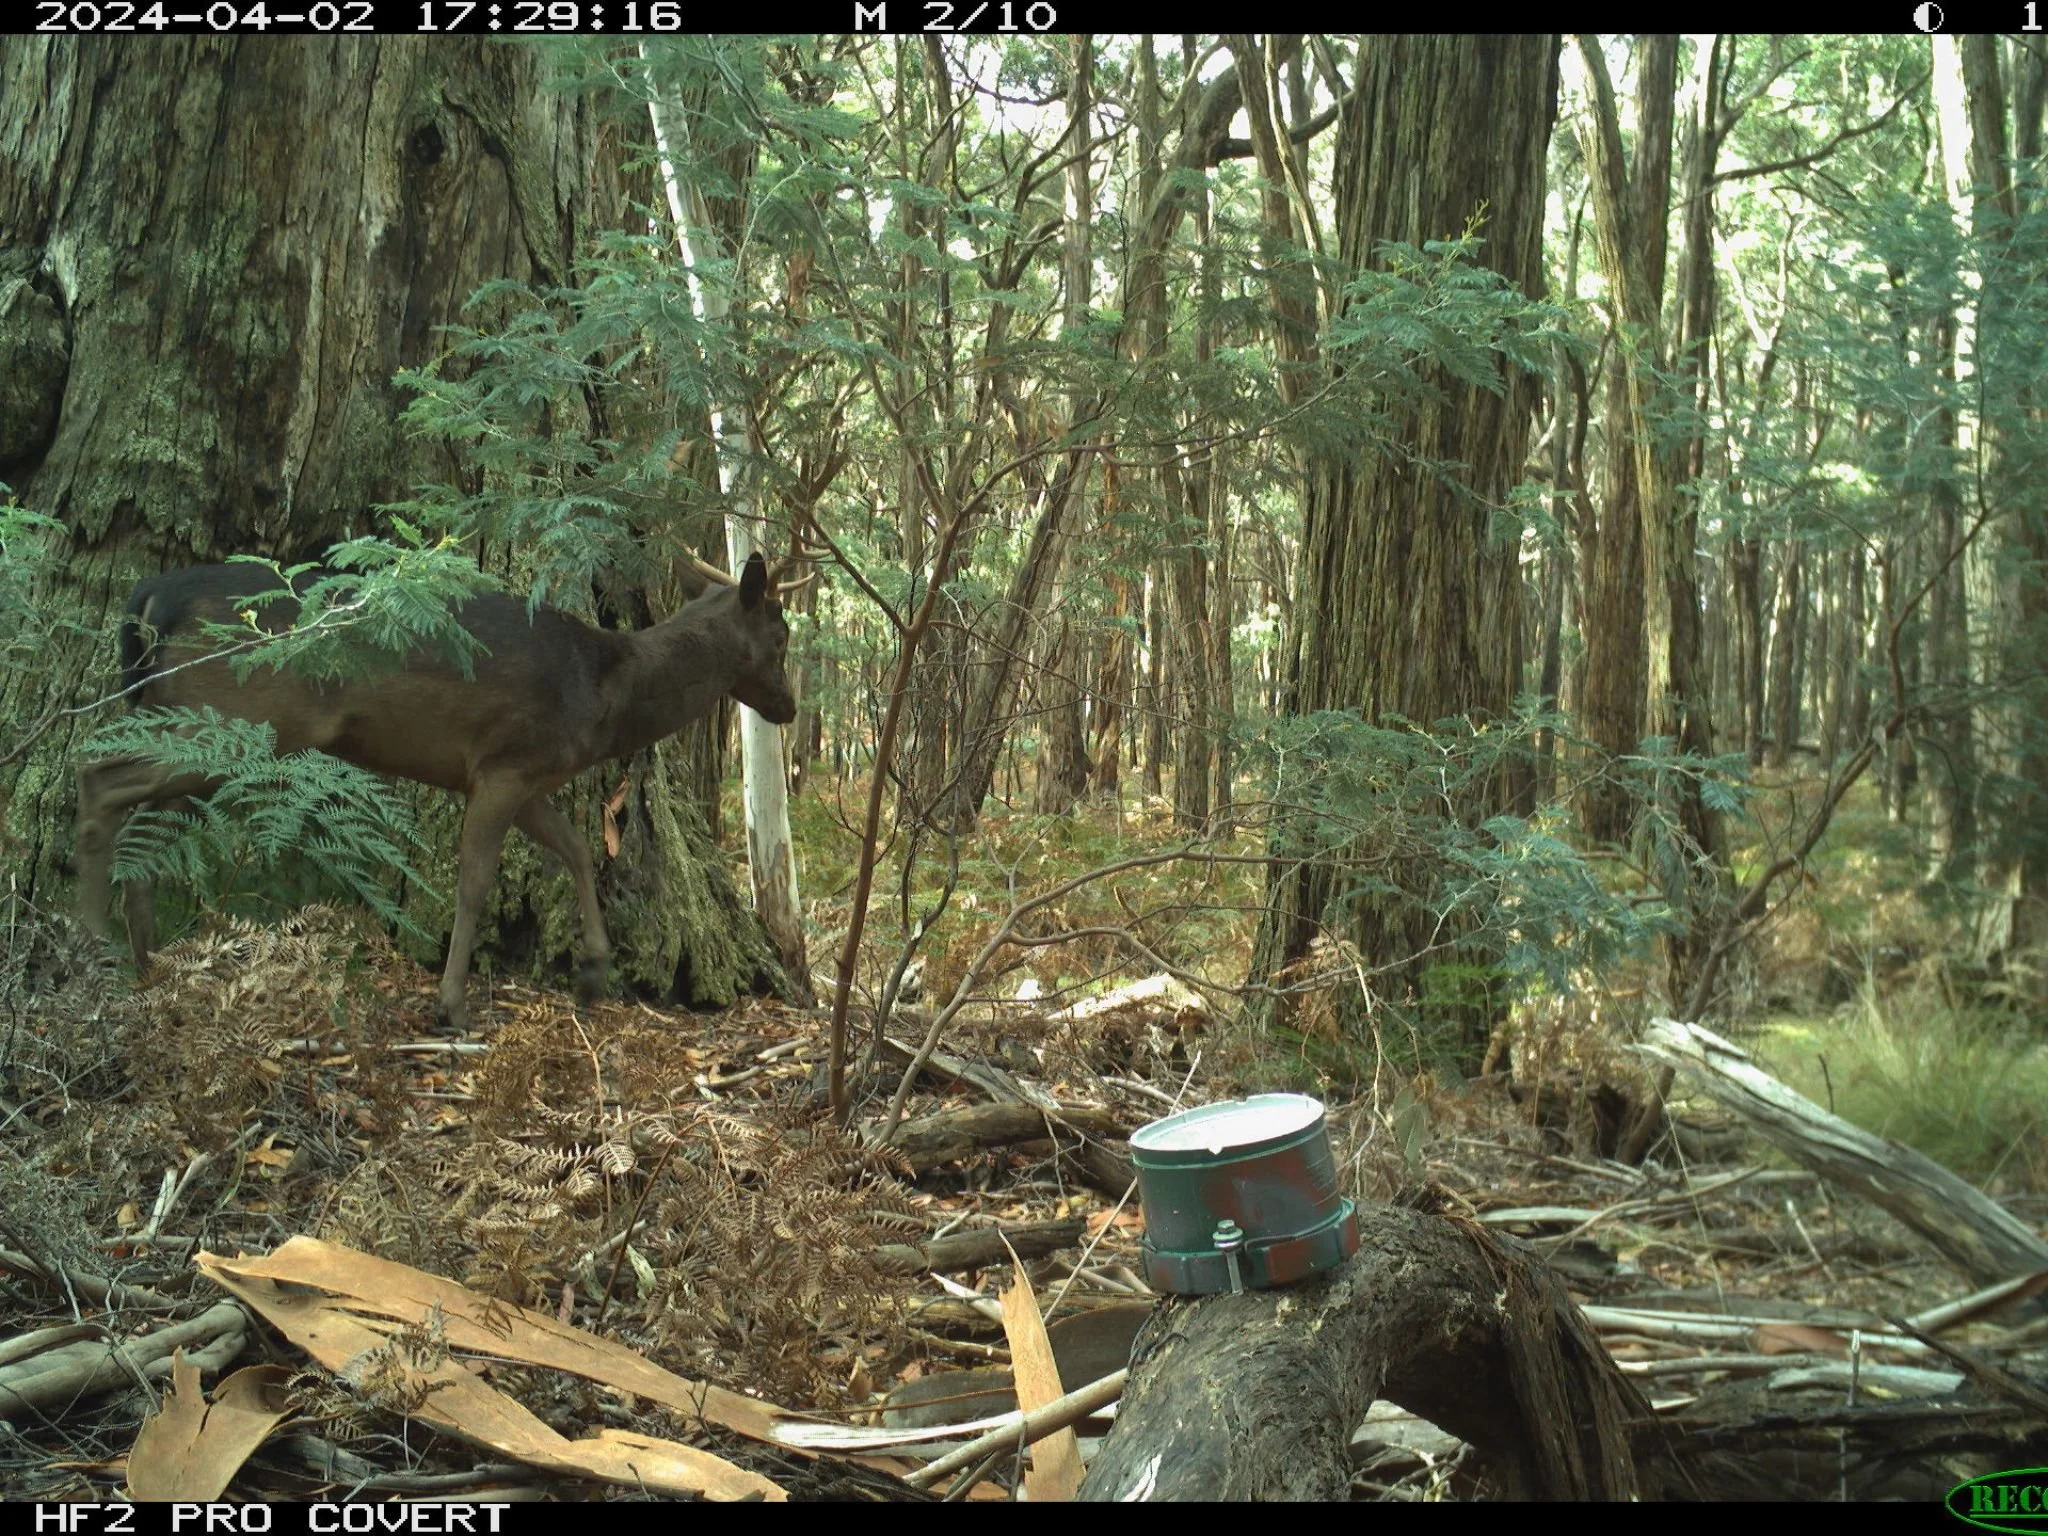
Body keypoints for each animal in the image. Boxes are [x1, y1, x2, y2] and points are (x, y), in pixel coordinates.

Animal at [76, 551, 797, 1029]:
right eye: (783, 635)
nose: (790, 708)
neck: (604, 696)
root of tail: (149, 598)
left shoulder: (527, 776)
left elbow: (576, 848)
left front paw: (593, 974)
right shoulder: (505, 763)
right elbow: (474, 880)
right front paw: (452, 1005)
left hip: (196, 726)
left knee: (139, 821)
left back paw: (148, 960)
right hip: (238, 718)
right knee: (97, 779)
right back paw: (101, 954)